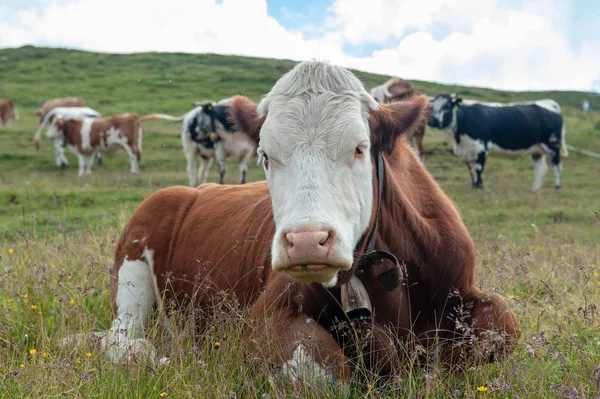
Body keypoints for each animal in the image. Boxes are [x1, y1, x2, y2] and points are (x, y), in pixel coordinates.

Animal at [105, 61, 516, 384]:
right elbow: (317, 368)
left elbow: (499, 326)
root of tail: (189, 190)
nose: (305, 242)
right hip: (132, 271)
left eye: (359, 148)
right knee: (122, 339)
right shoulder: (266, 315)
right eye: (265, 155)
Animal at [426, 95, 568, 192]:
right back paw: (535, 189)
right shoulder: (468, 152)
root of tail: (549, 103)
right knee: (541, 169)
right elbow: (471, 170)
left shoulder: (481, 148)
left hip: (553, 144)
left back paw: (557, 187)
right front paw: (474, 187)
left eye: (446, 106)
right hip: (537, 149)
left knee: (557, 166)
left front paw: (480, 188)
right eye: (432, 107)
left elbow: (478, 169)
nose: (432, 120)